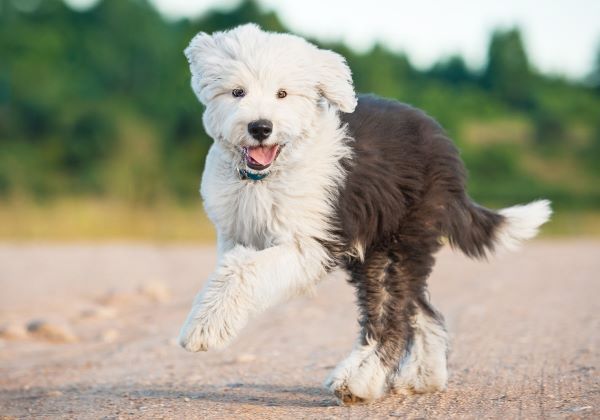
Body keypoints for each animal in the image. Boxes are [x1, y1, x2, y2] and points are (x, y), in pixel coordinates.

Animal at [176, 24, 552, 406]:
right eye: (237, 91)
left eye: (282, 94)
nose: (260, 127)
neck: (265, 178)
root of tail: (446, 150)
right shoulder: (234, 232)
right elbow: (229, 273)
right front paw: (209, 319)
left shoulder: (310, 243)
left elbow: (243, 270)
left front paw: (203, 330)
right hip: (380, 247)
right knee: (419, 310)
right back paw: (423, 377)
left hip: (399, 242)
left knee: (393, 316)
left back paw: (358, 381)